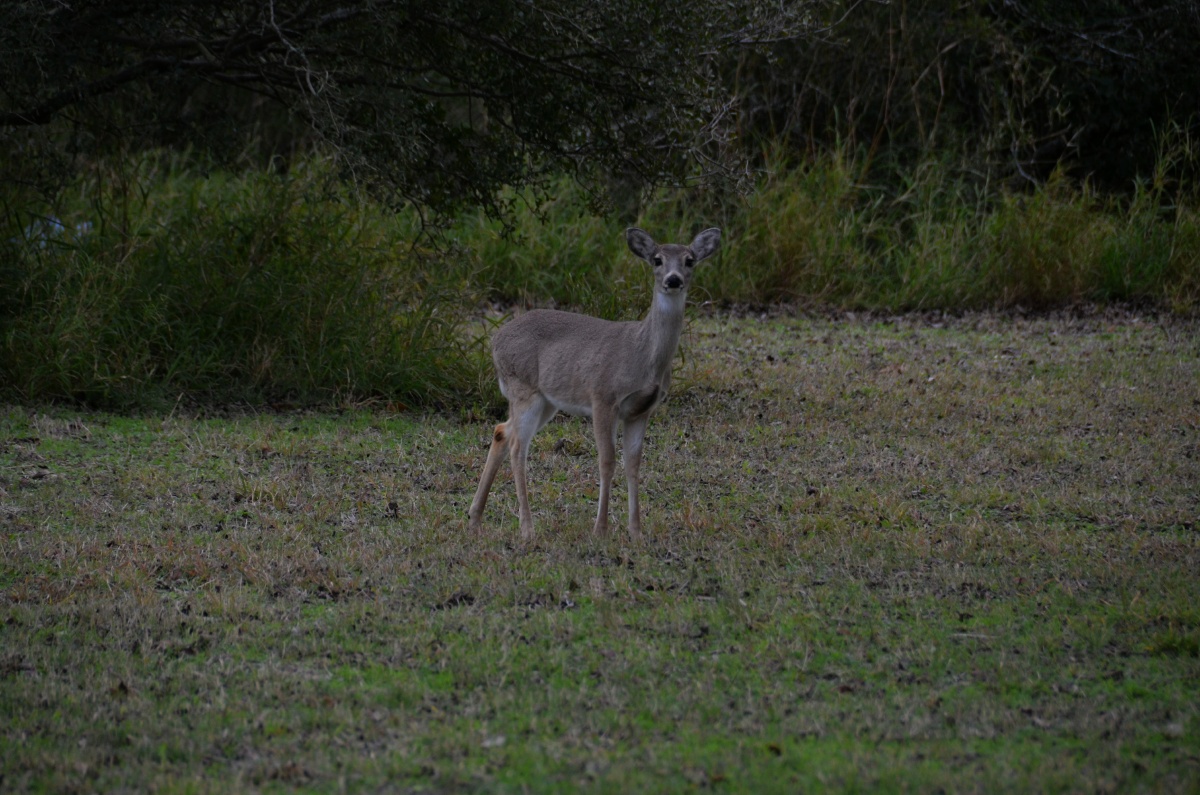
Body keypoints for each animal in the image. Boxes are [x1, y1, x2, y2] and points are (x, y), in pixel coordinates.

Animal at [463, 226, 715, 545]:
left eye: (689, 260)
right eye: (657, 259)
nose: (673, 280)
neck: (643, 354)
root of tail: (495, 341)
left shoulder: (641, 410)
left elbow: (634, 463)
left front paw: (636, 532)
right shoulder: (603, 397)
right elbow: (607, 460)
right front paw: (601, 528)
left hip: (546, 401)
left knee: (501, 431)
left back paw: (475, 519)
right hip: (525, 389)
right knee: (518, 447)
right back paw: (527, 529)